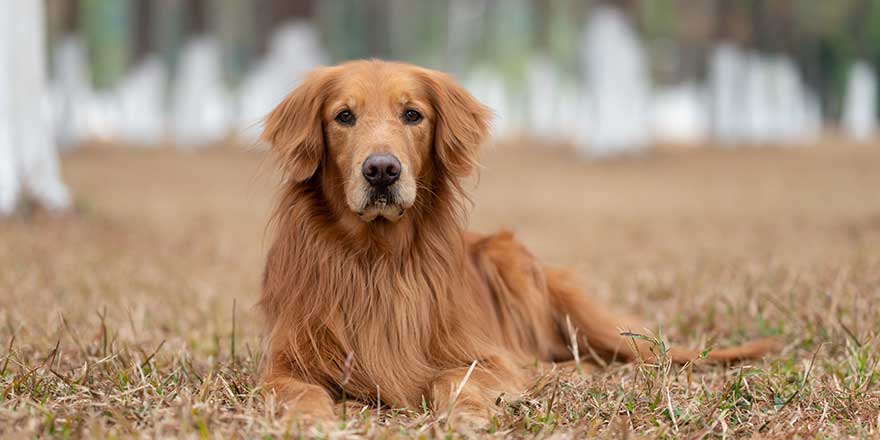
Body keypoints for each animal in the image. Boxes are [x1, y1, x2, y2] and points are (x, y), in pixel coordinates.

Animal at [256, 59, 776, 422]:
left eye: (412, 115)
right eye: (344, 116)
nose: (382, 170)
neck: (377, 256)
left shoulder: (486, 354)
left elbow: (457, 378)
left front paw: (466, 414)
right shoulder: (284, 363)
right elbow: (298, 391)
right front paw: (310, 420)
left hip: (511, 262)